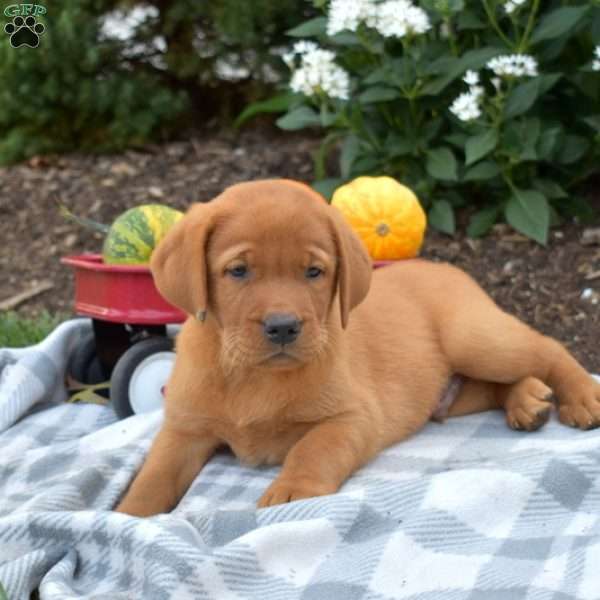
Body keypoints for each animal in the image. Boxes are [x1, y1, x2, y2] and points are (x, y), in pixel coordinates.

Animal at [116, 178, 600, 516]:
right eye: (237, 271)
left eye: (314, 271)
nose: (283, 327)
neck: (254, 374)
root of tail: (448, 267)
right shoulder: (184, 430)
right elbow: (152, 477)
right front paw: (127, 517)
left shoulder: (353, 417)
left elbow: (313, 448)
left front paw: (292, 490)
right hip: (452, 391)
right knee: (493, 384)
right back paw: (528, 400)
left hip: (475, 338)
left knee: (546, 347)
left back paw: (581, 397)